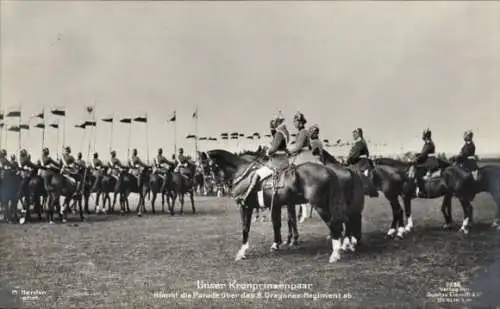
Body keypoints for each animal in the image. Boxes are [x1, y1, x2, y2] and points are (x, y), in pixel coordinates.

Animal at [207, 149, 360, 262]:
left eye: (208, 166)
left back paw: (336, 253)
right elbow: (278, 223)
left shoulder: (245, 207)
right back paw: (348, 244)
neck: (244, 173)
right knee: (346, 221)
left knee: (335, 224)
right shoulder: (276, 205)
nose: (215, 185)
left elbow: (246, 228)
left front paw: (242, 252)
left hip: (321, 206)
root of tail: (328, 170)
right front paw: (278, 244)